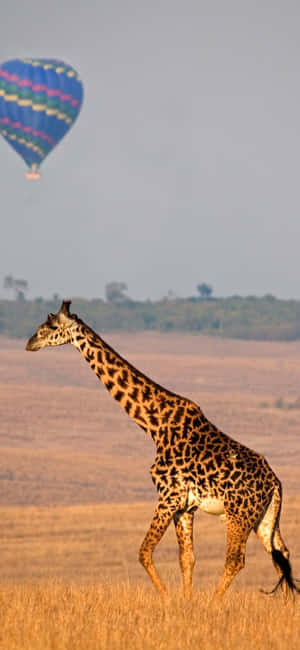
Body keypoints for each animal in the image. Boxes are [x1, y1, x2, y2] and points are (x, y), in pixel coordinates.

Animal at [27, 302, 298, 600]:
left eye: (52, 326)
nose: (30, 343)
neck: (154, 425)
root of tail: (275, 483)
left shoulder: (168, 495)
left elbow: (144, 551)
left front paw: (168, 599)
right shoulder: (185, 505)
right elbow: (187, 558)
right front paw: (185, 601)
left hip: (239, 515)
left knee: (236, 559)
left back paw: (214, 603)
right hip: (264, 518)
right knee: (281, 556)